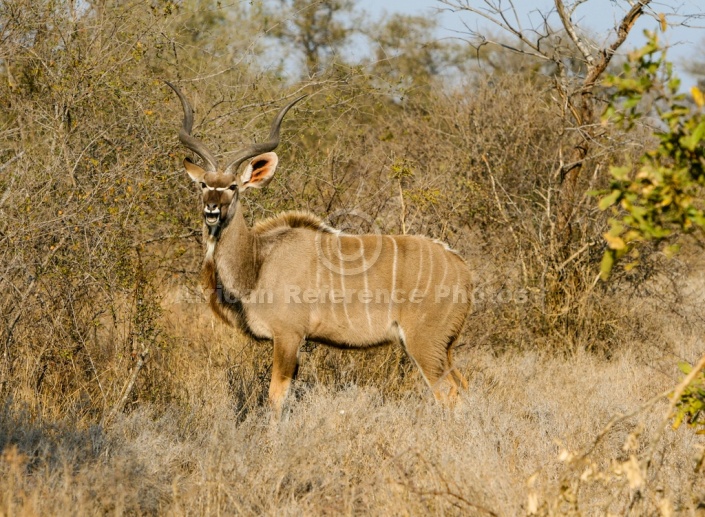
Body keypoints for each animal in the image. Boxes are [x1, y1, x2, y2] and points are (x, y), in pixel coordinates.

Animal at [167, 81, 470, 420]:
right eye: (204, 184)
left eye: (233, 186)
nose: (212, 209)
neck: (258, 262)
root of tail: (462, 268)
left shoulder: (288, 335)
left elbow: (276, 397)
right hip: (443, 347)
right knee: (464, 386)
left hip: (425, 343)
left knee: (449, 394)